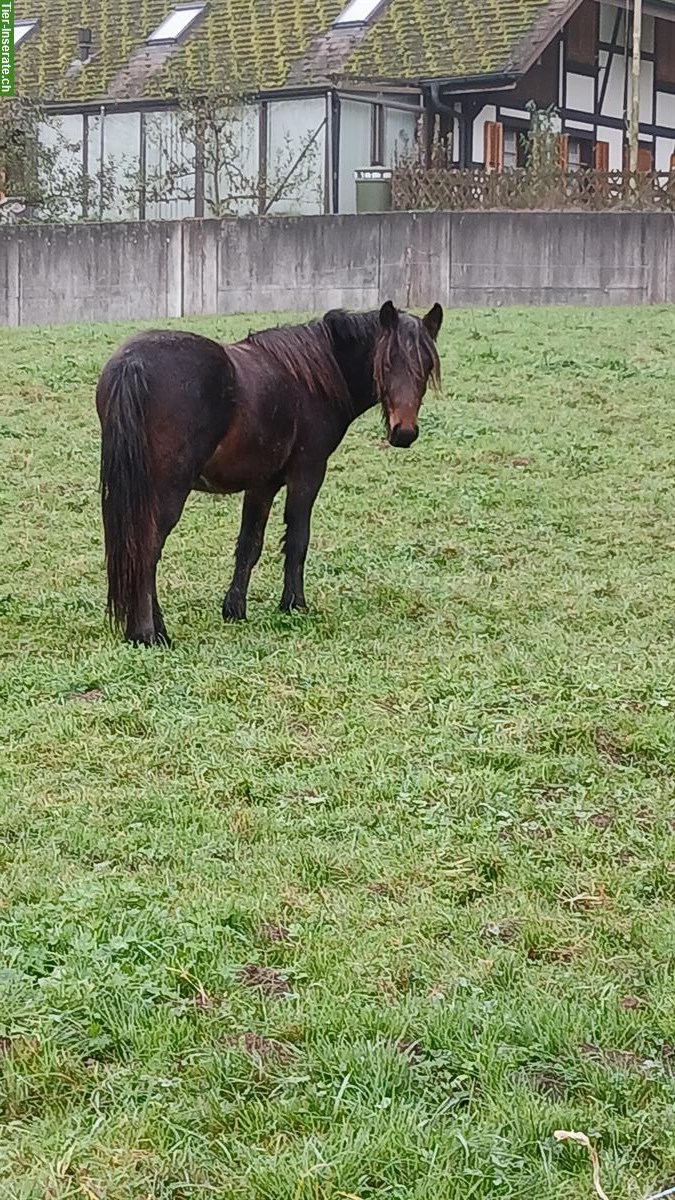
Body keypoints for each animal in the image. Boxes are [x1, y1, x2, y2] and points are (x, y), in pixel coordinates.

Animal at [96, 300, 441, 648]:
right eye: (387, 363)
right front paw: (294, 604)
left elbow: (250, 544)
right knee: (146, 549)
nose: (404, 432)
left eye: (426, 366)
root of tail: (133, 363)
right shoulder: (307, 473)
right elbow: (298, 540)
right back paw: (147, 633)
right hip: (166, 491)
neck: (312, 378)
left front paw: (234, 609)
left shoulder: (262, 483)